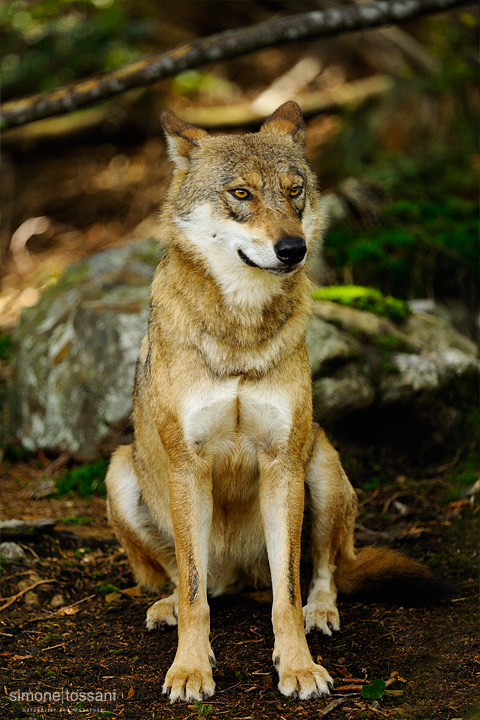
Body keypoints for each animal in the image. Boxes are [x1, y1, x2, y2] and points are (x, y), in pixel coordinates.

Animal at [105, 102, 446, 704]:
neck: (241, 333)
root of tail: (241, 576)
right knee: (190, 581)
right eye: (241, 193)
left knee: (325, 569)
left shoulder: (283, 464)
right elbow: (193, 595)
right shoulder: (188, 466)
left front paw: (299, 667)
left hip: (321, 465)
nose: (293, 249)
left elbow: (286, 593)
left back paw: (321, 612)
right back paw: (167, 605)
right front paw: (190, 669)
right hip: (121, 472)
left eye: (295, 191)